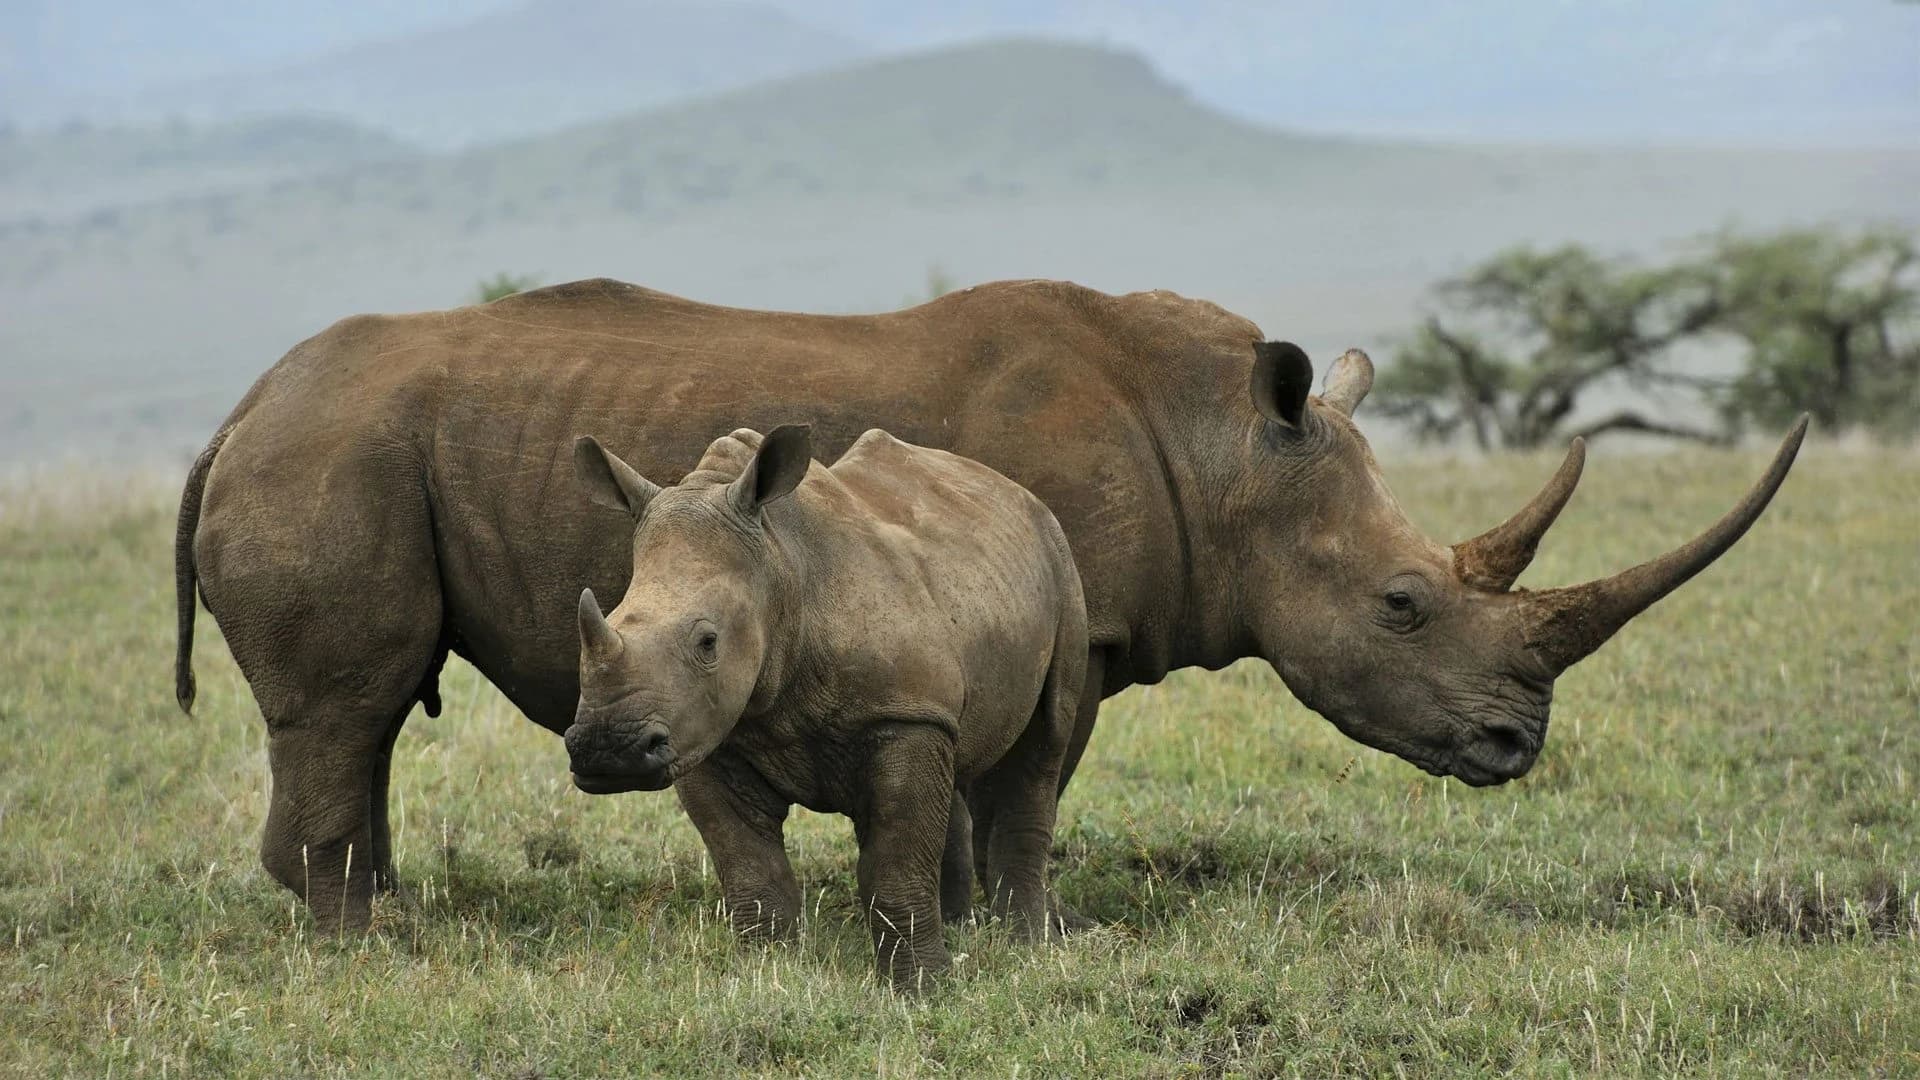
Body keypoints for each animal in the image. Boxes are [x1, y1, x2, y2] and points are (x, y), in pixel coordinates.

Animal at [173, 278, 1807, 931]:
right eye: (1404, 605)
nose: (1518, 747)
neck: (1222, 451)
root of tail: (237, 407)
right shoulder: (1051, 612)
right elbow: (1005, 788)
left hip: (346, 447)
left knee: (370, 717)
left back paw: (390, 919)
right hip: (331, 454)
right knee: (345, 706)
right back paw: (376, 945)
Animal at [566, 424, 1085, 989]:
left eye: (708, 642)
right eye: (612, 617)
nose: (608, 749)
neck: (781, 571)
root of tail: (1013, 491)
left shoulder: (902, 712)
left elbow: (896, 864)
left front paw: (923, 990)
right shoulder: (704, 732)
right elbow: (749, 868)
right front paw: (766, 975)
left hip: (1061, 563)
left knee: (1043, 743)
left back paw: (1027, 947)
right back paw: (960, 928)